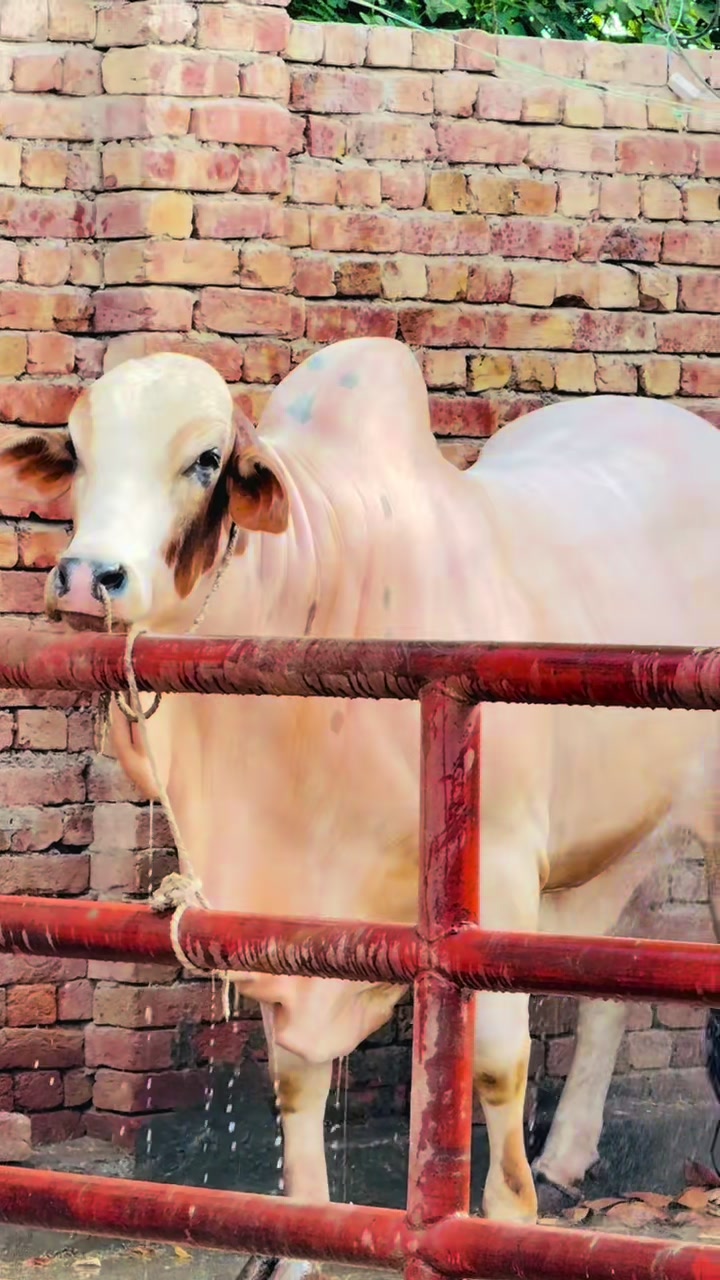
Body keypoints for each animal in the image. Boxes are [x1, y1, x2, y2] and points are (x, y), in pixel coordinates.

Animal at [2, 338, 720, 1268]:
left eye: (205, 459)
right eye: (78, 450)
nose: (90, 576)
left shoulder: (493, 868)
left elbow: (495, 1056)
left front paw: (507, 1216)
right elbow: (295, 1077)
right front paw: (304, 1236)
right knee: (617, 966)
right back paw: (567, 1153)